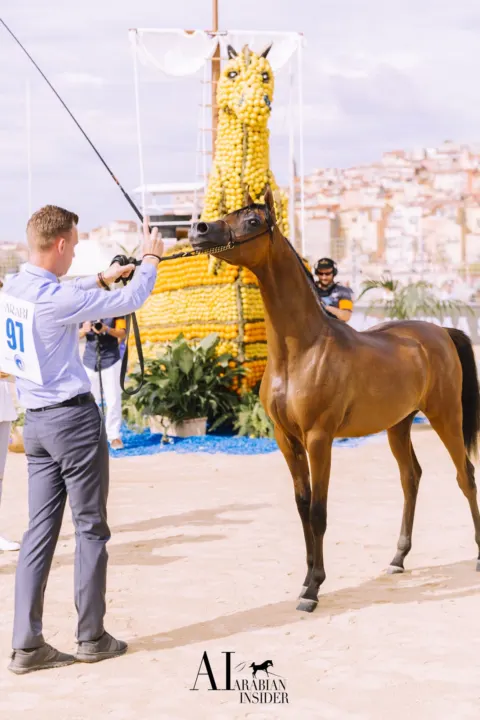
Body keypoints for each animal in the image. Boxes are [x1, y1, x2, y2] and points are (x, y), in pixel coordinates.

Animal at [190, 187, 480, 613]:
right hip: (398, 425)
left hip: (446, 417)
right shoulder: (286, 439)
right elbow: (302, 506)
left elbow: (319, 511)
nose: (199, 230)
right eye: (228, 212)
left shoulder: (319, 438)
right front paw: (307, 578)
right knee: (411, 477)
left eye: (253, 220)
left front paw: (313, 589)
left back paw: (476, 555)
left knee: (466, 476)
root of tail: (441, 331)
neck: (301, 350)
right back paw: (398, 558)